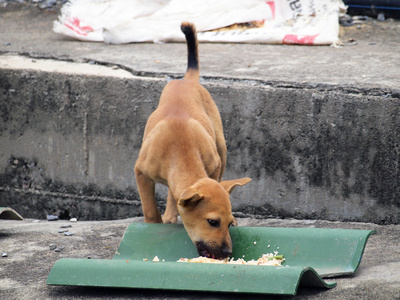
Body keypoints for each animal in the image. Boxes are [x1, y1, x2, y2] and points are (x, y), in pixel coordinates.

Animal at [136, 22, 252, 258]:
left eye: (227, 224)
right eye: (212, 222)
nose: (227, 252)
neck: (181, 149)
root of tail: (187, 81)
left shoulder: (214, 165)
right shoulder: (141, 172)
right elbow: (150, 209)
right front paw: (154, 226)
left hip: (222, 147)